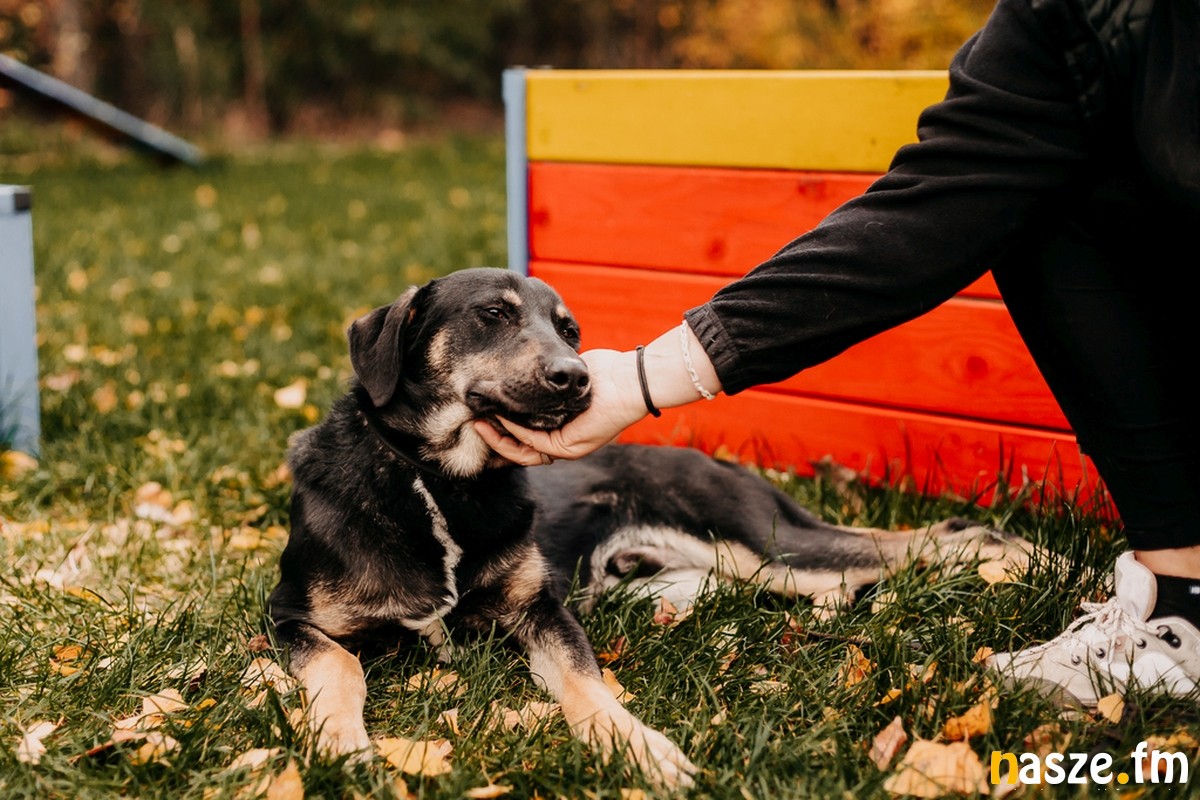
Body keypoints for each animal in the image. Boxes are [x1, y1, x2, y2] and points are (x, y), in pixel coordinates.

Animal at [268, 267, 1033, 789]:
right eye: (492, 314)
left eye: (569, 329)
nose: (576, 378)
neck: (442, 483)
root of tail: (710, 456)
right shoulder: (287, 618)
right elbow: (340, 667)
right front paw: (345, 750)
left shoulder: (541, 609)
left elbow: (588, 684)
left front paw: (639, 749)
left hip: (765, 545)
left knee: (905, 544)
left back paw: (1014, 554)